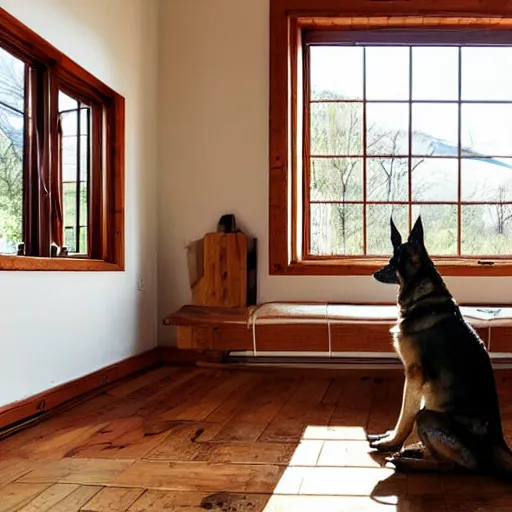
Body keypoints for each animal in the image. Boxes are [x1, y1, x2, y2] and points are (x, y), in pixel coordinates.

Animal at [366, 214, 512, 478]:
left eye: (392, 262)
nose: (374, 273)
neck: (426, 299)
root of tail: (498, 444)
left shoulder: (413, 375)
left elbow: (405, 414)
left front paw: (391, 442)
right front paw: (391, 439)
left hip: (427, 418)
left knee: (455, 465)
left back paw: (406, 461)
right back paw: (415, 451)